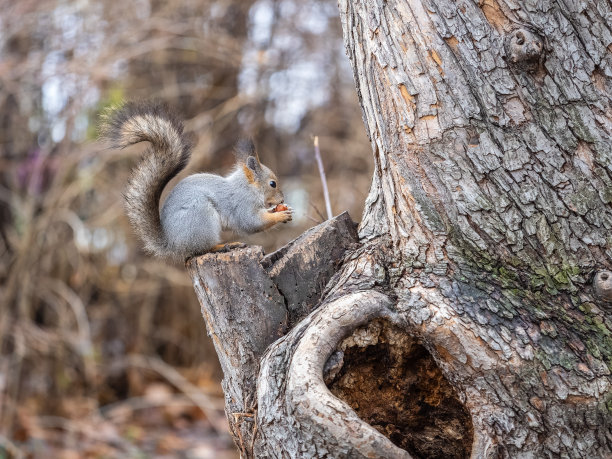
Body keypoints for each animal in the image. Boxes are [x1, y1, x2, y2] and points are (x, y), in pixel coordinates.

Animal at [101, 101, 292, 258]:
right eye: (272, 184)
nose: (282, 200)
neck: (248, 187)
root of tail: (173, 244)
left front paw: (279, 210)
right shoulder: (242, 204)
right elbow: (251, 223)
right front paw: (280, 215)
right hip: (201, 216)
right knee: (201, 249)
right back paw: (223, 246)